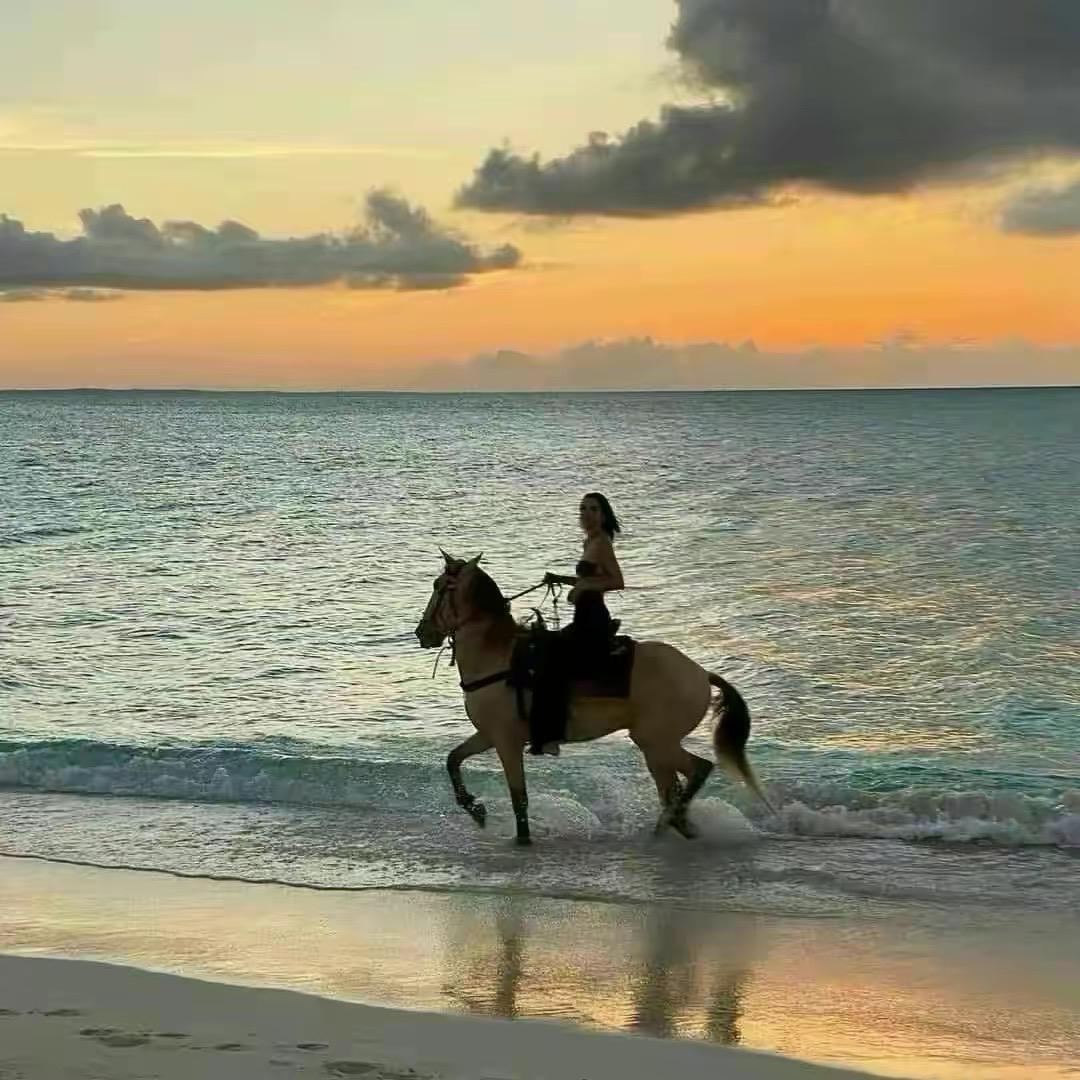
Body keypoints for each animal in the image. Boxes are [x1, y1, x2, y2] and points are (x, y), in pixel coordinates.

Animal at [414, 551, 771, 846]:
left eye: (439, 586)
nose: (422, 632)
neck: (496, 657)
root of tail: (700, 673)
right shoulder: (489, 735)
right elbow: (453, 760)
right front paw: (475, 809)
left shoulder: (506, 741)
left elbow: (519, 797)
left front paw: (522, 839)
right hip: (656, 746)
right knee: (672, 789)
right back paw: (671, 827)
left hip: (656, 740)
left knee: (697, 769)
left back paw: (671, 824)